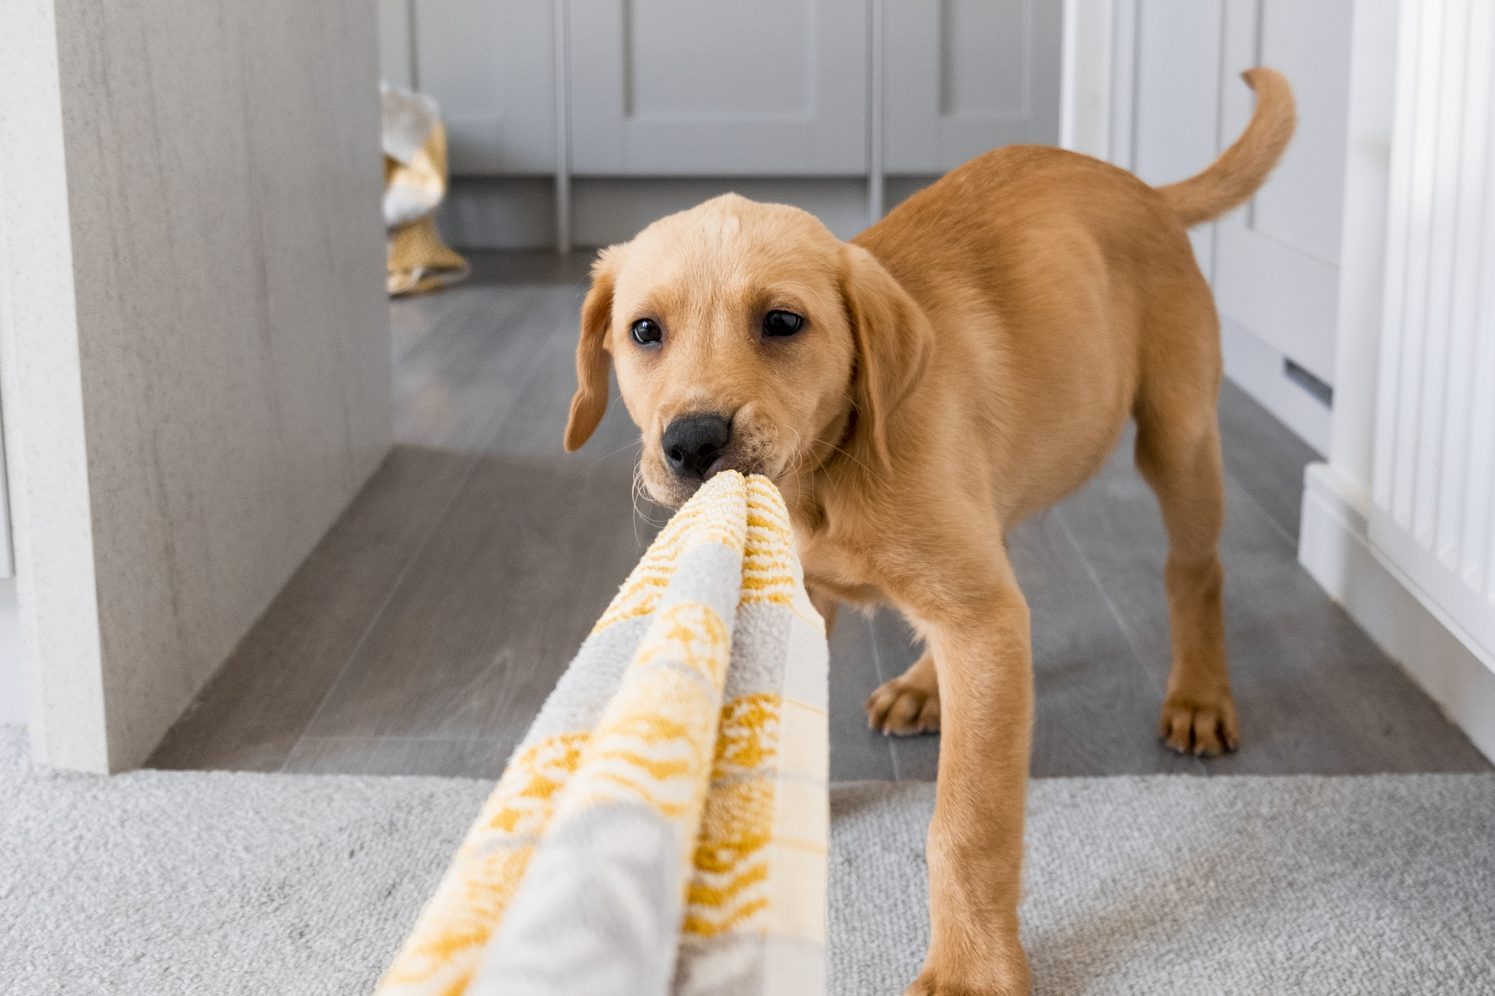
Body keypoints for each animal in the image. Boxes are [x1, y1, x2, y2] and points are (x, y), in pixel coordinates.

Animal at [565, 69, 1291, 993]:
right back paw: (924, 685)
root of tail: (1142, 189)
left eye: (782, 323)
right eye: (644, 332)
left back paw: (1198, 694)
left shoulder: (982, 626)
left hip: (1177, 434)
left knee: (1193, 571)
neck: (826, 474)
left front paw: (971, 966)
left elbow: (967, 826)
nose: (691, 442)